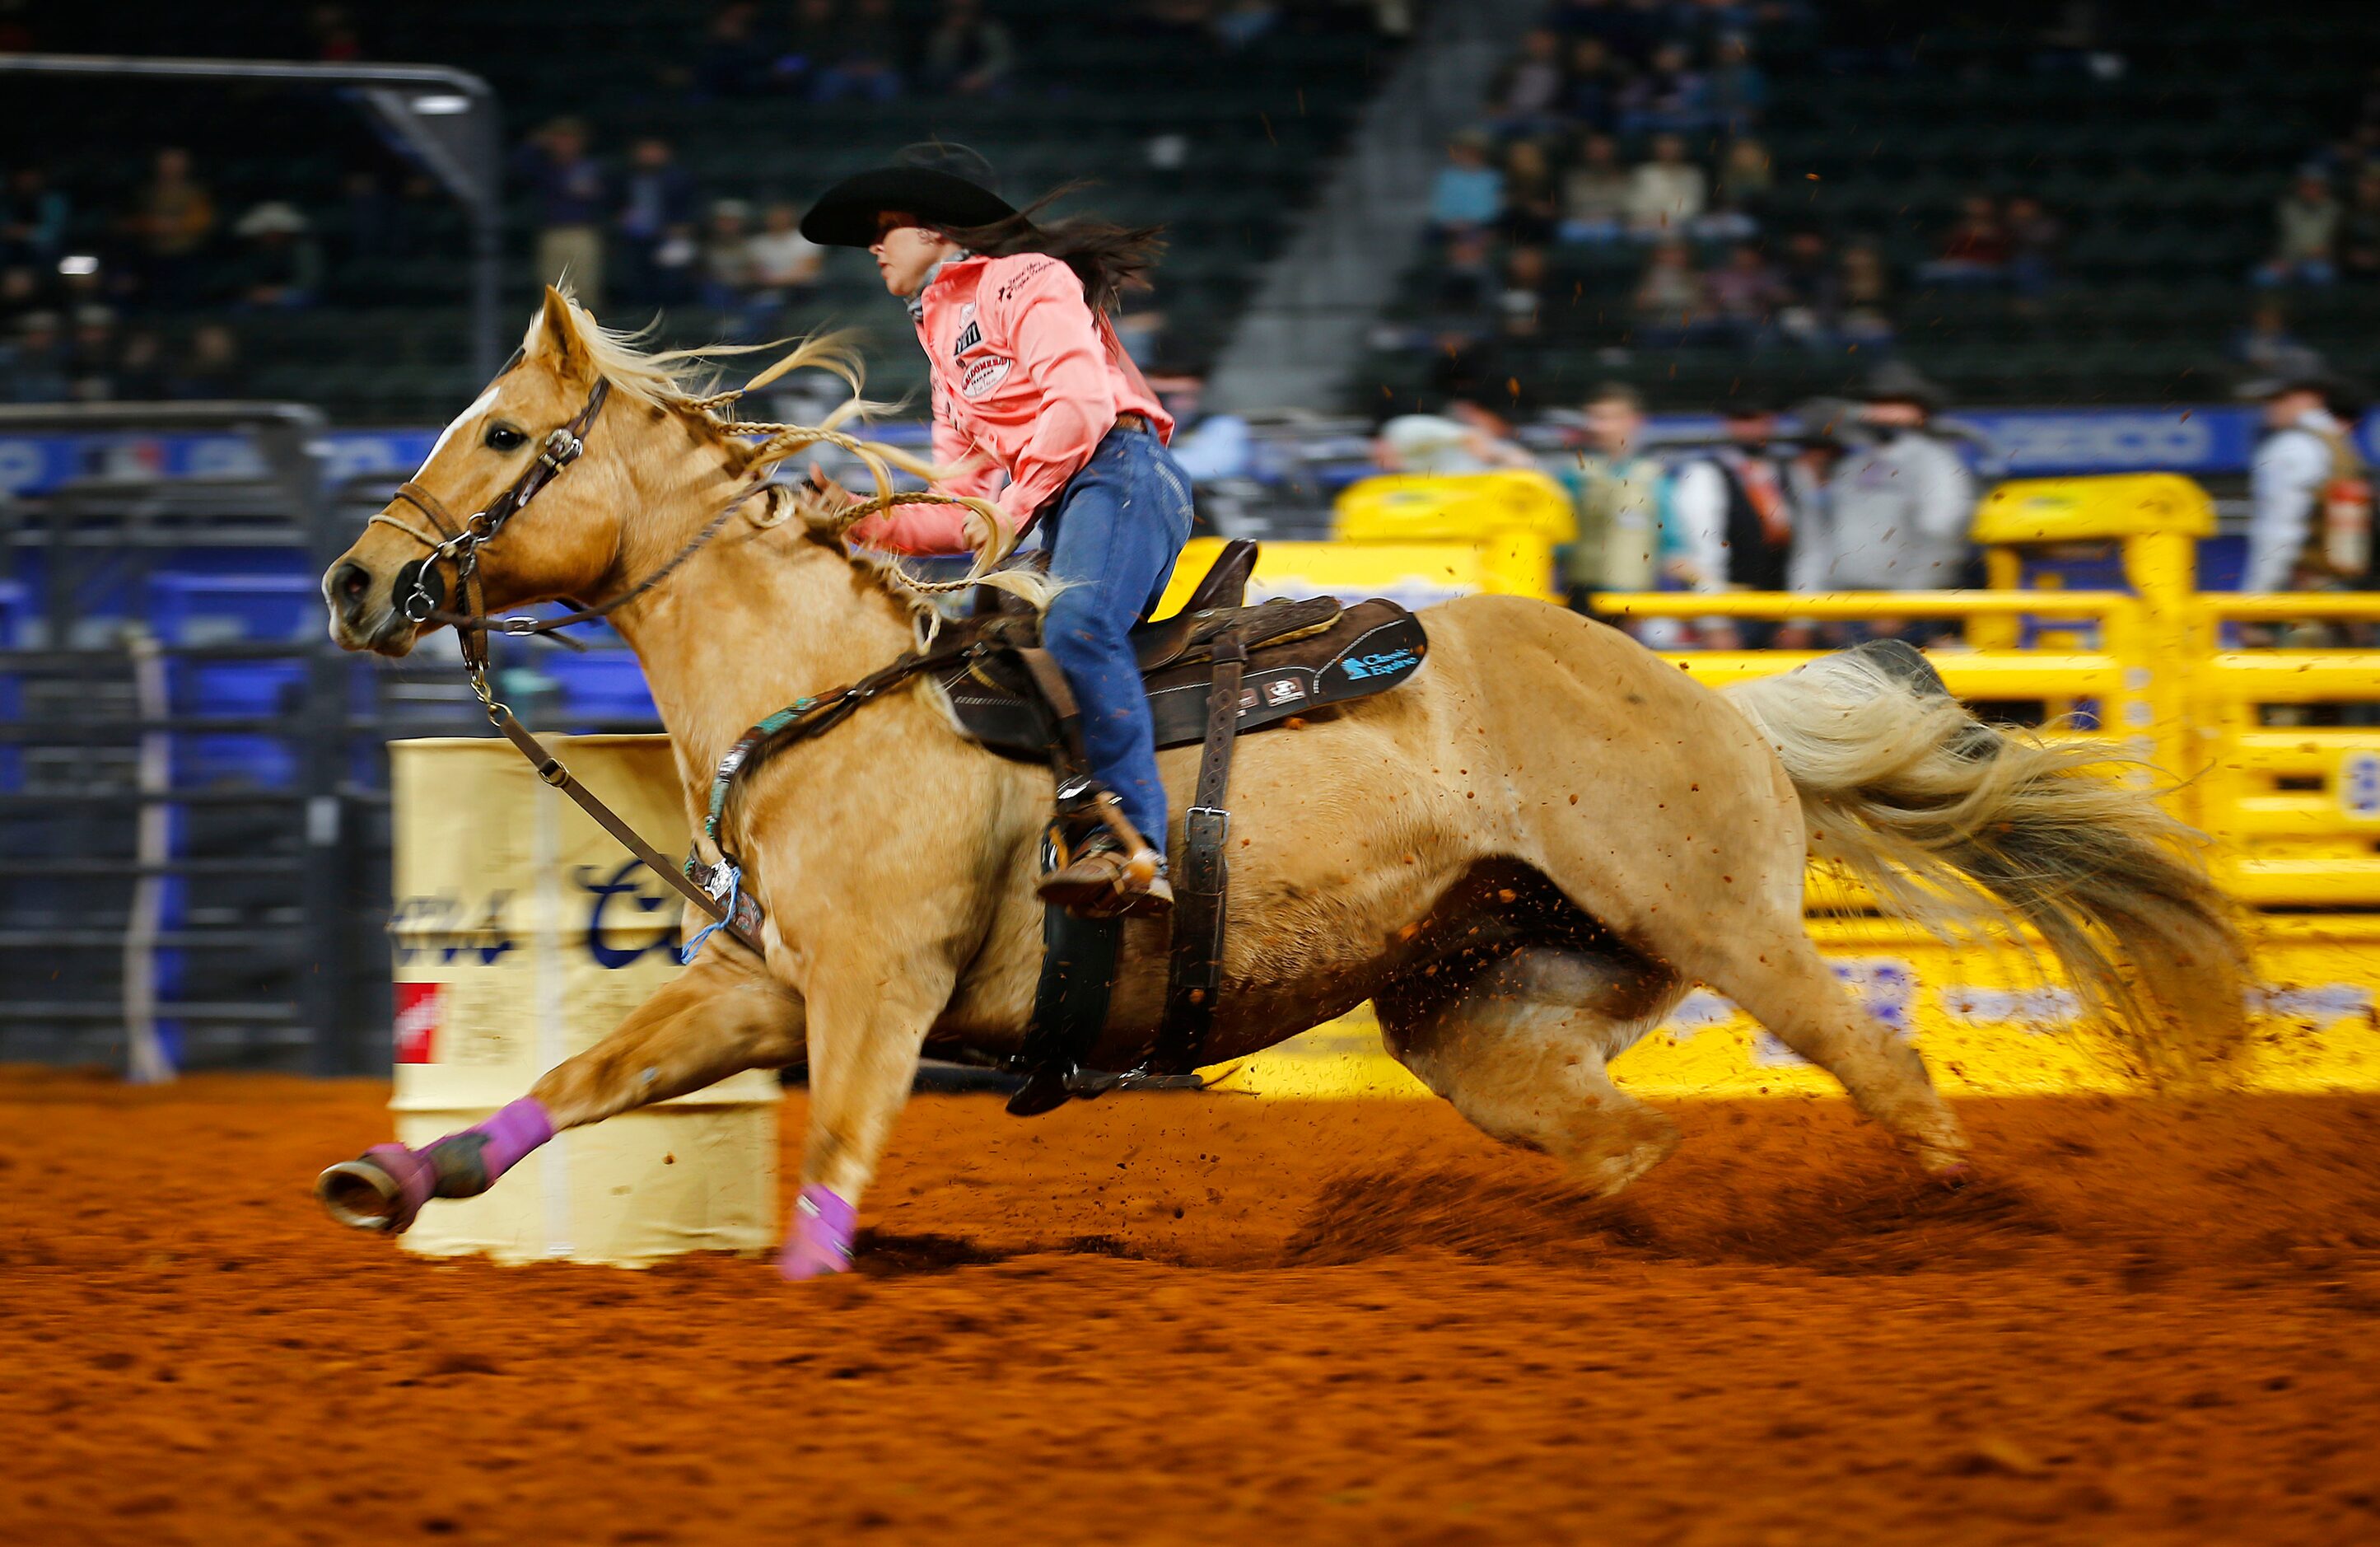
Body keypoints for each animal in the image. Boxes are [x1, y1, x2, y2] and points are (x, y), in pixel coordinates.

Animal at [316, 292, 2247, 1275]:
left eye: (504, 434)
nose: (350, 581)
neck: (826, 698)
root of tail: (1715, 707)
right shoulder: (760, 986)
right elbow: (582, 1073)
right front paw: (399, 1179)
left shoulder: (874, 992)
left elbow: (840, 1158)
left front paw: (806, 1304)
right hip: (1479, 1012)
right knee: (1621, 1138)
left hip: (1727, 928)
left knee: (1879, 1059)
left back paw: (1967, 1226)